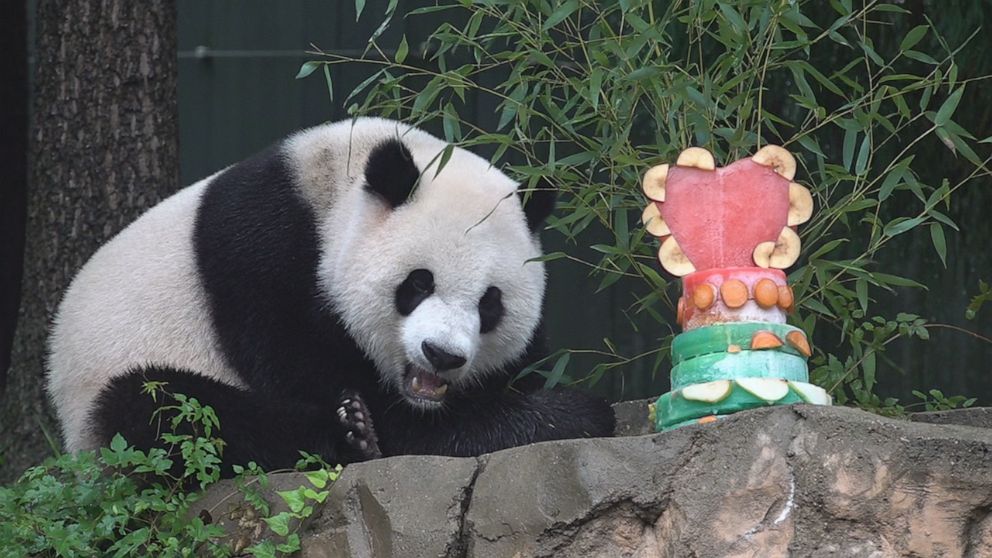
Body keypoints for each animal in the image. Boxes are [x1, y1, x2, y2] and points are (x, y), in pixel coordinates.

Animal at [50, 118, 616, 472]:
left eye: (490, 303)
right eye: (419, 283)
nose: (442, 355)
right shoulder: (264, 260)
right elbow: (322, 380)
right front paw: (568, 415)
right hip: (105, 403)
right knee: (159, 408)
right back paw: (351, 435)